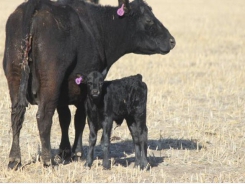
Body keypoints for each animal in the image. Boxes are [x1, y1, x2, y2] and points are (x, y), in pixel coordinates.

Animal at [2, 0, 175, 170]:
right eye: (149, 20)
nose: (172, 41)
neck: (99, 27)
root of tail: (36, 5)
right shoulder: (83, 91)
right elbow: (79, 119)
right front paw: (77, 151)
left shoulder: (64, 93)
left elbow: (65, 118)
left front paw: (65, 151)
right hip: (50, 81)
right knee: (44, 117)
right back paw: (47, 160)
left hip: (15, 75)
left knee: (16, 114)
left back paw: (14, 159)